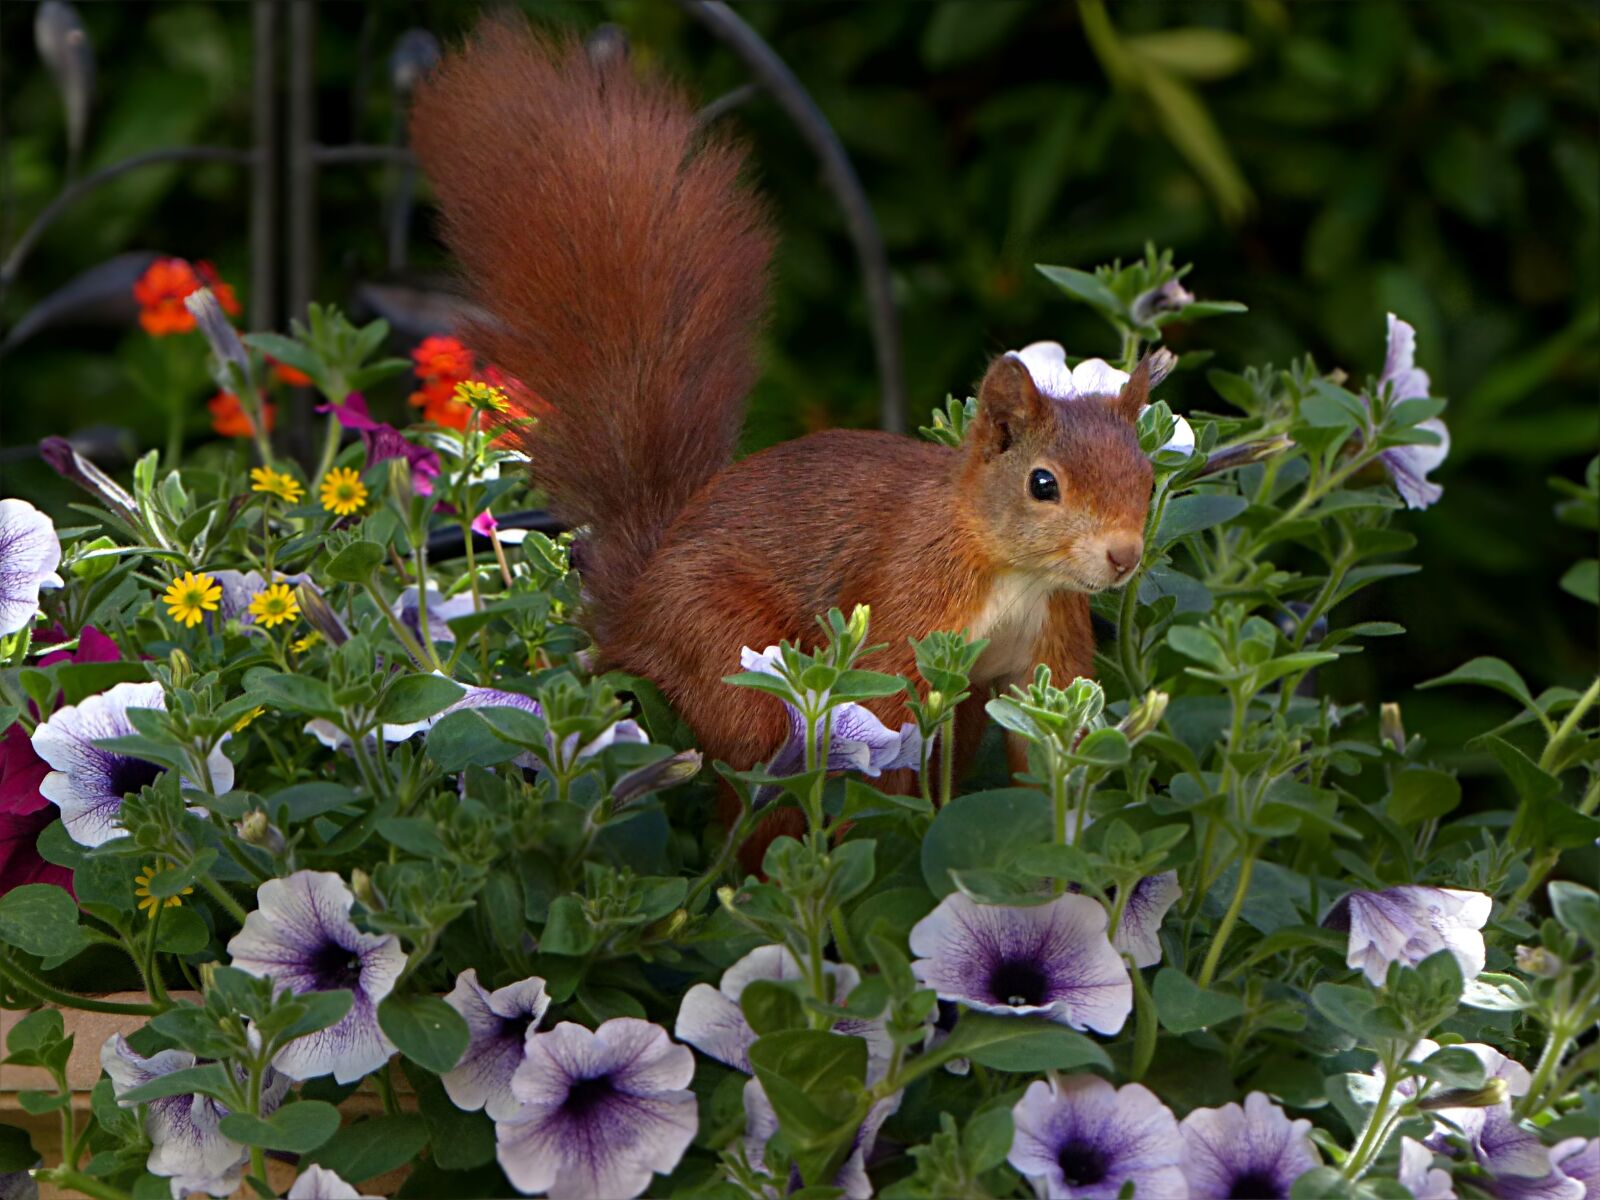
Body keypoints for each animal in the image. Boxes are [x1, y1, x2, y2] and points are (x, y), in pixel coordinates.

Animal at [411, 19, 1155, 869]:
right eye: (1042, 483)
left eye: (1146, 478)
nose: (1123, 556)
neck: (1011, 572)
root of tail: (634, 608)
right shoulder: (906, 606)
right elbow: (888, 719)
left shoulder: (1046, 651)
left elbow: (1051, 754)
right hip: (722, 648)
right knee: (754, 774)